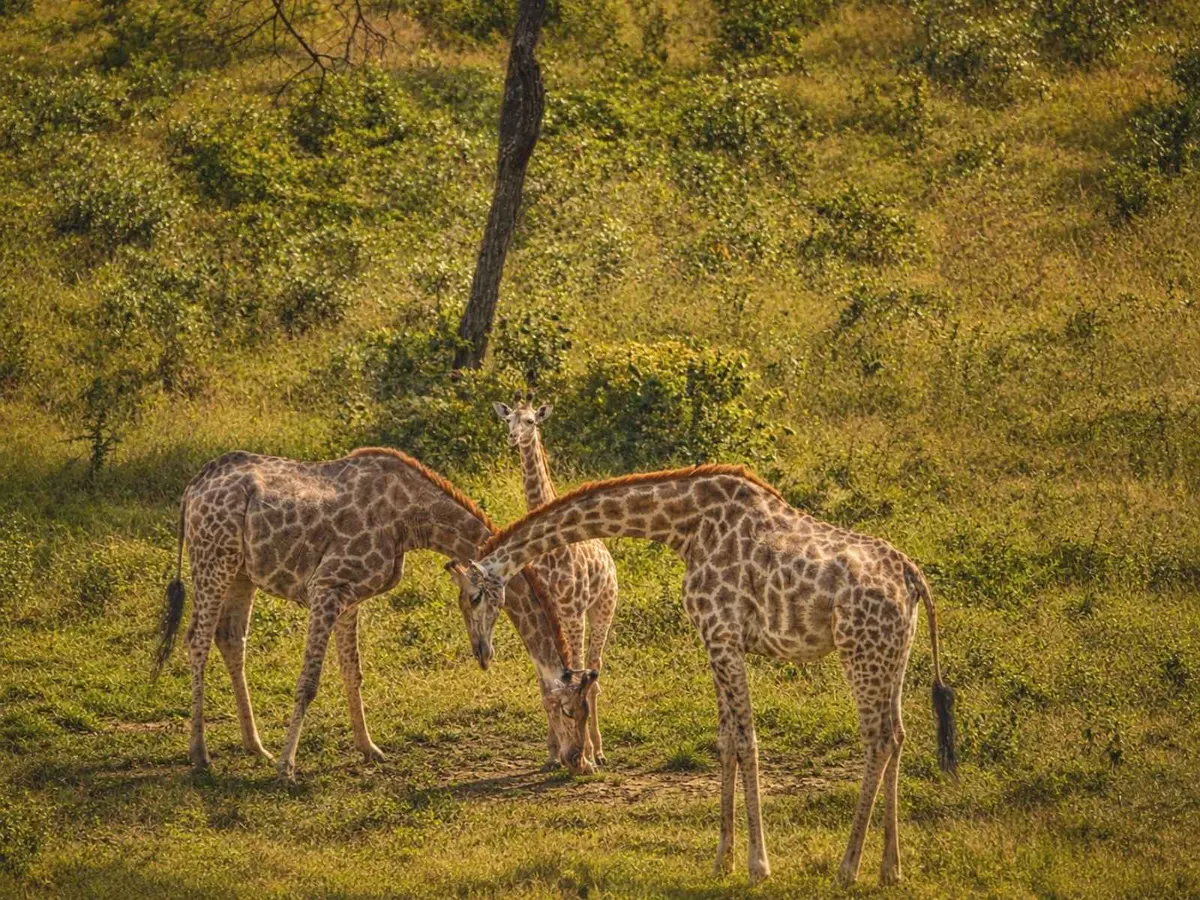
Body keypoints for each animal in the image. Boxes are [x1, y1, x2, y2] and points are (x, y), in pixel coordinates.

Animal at [152, 447, 587, 781]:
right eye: (566, 708)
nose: (575, 758)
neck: (409, 519)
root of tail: (192, 487)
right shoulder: (325, 587)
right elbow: (308, 682)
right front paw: (287, 769)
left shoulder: (350, 596)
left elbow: (352, 672)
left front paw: (369, 748)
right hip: (213, 558)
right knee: (197, 641)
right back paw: (200, 755)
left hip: (242, 571)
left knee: (230, 639)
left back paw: (255, 746)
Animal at [459, 464, 956, 887]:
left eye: (472, 598)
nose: (480, 652)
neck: (685, 527)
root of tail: (913, 577)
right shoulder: (714, 640)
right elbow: (726, 742)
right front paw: (722, 860)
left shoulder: (722, 635)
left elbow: (747, 741)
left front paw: (758, 866)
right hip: (892, 653)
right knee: (898, 734)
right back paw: (890, 869)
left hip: (859, 650)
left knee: (877, 738)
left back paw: (847, 869)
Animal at [493, 396, 618, 772]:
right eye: (508, 421)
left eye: (531, 421)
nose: (513, 439)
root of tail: (609, 559)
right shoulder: (545, 611)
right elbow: (546, 684)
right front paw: (551, 754)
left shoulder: (574, 613)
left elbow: (579, 679)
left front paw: (585, 754)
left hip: (602, 609)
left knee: (595, 670)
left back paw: (600, 750)